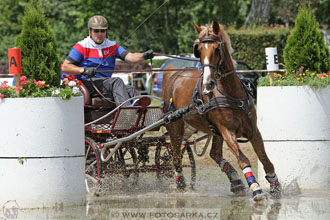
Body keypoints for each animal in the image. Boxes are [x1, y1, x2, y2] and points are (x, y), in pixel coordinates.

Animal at [162, 20, 282, 201]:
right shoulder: (227, 131)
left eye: (217, 49)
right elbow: (243, 159)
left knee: (214, 154)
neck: (231, 93)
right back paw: (181, 184)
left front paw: (275, 185)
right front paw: (256, 188)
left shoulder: (253, 130)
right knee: (176, 156)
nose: (208, 83)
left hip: (207, 129)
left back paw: (235, 180)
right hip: (176, 126)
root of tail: (173, 73)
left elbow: (264, 158)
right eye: (199, 50)